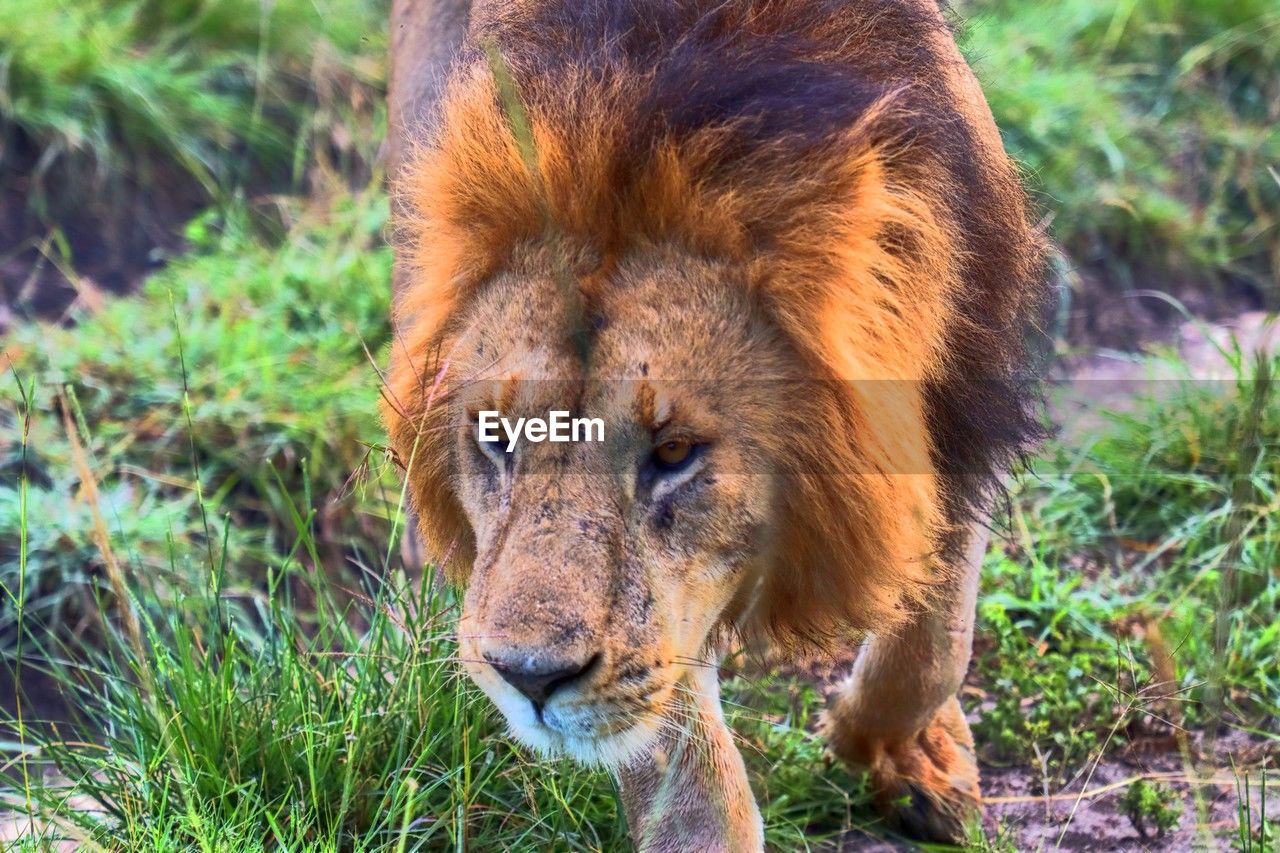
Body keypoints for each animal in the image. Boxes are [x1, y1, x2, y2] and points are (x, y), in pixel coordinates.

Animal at [383, 0, 1047, 848]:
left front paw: (903, 751)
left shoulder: (964, 394)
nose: (529, 676)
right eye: (496, 437)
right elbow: (689, 772)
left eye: (674, 451)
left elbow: (938, 636)